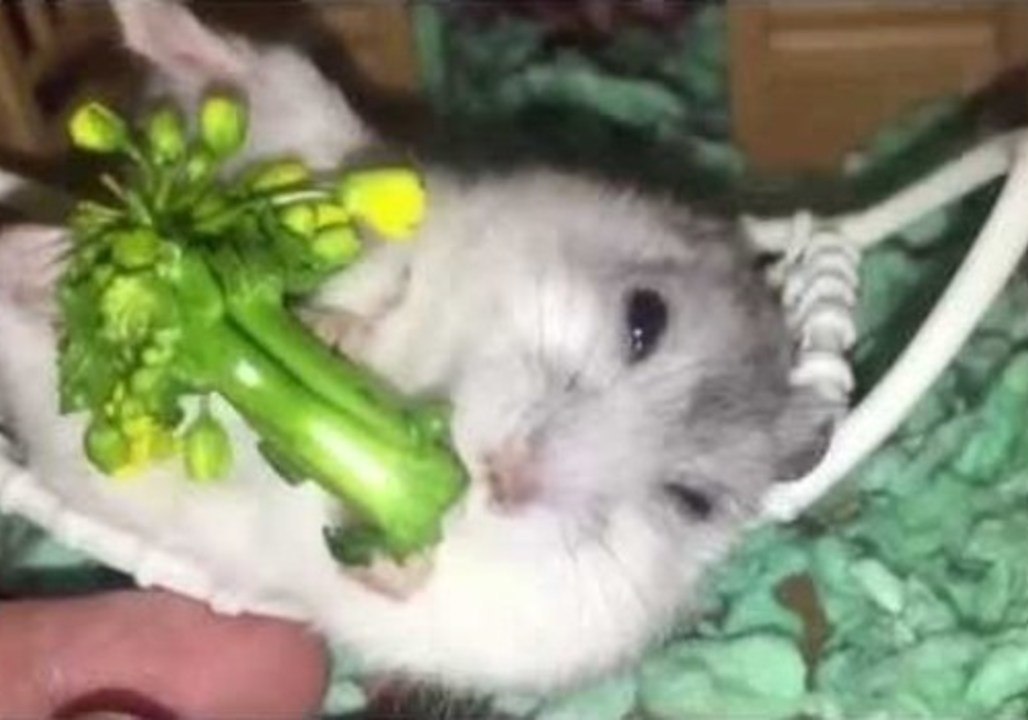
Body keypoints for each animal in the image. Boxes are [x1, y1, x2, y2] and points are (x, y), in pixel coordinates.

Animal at [0, 0, 831, 694]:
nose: (505, 478)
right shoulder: (412, 221)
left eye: (691, 501)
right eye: (644, 319)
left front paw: (399, 558)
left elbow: (395, 582)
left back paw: (38, 256)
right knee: (249, 81)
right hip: (306, 127)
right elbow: (381, 277)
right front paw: (333, 332)